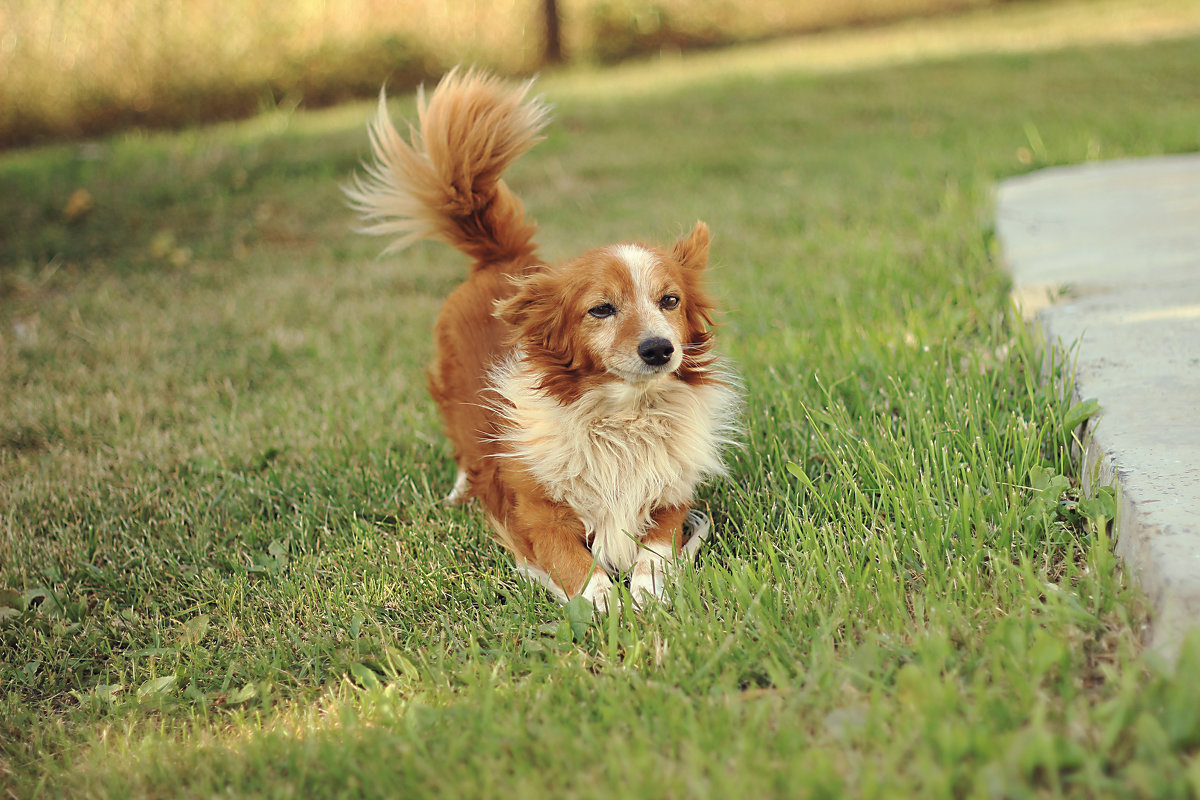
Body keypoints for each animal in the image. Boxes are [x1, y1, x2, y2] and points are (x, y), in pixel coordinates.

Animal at [345, 68, 739, 609]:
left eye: (670, 301)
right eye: (601, 308)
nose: (660, 349)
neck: (622, 418)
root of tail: (502, 257)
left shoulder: (671, 497)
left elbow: (655, 551)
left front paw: (646, 595)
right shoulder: (536, 517)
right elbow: (575, 564)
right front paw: (604, 604)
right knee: (463, 450)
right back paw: (458, 492)